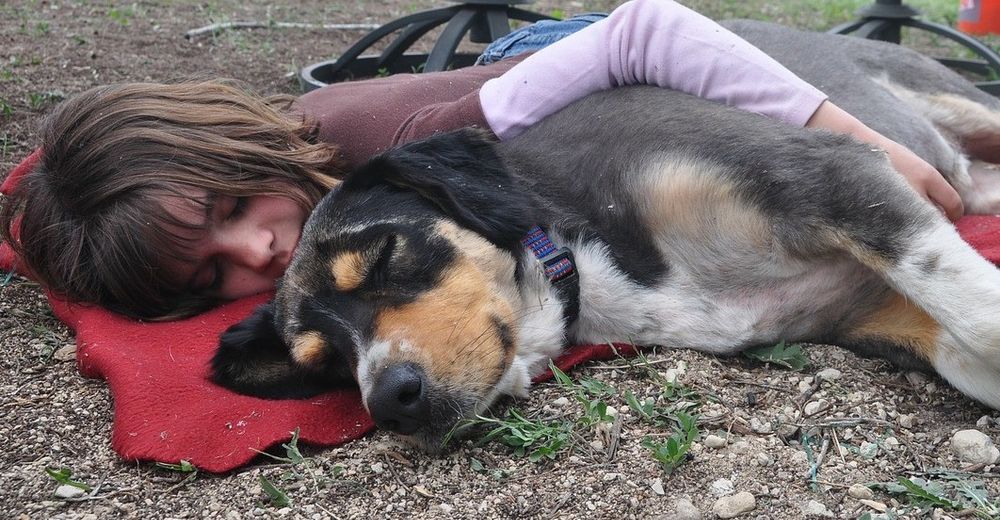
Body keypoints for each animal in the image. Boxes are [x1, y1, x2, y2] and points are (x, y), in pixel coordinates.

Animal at [215, 21, 1000, 450]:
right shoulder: (885, 314)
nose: (388, 403)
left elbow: (982, 318)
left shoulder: (829, 174)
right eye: (324, 363)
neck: (577, 263)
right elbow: (974, 341)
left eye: (383, 255)